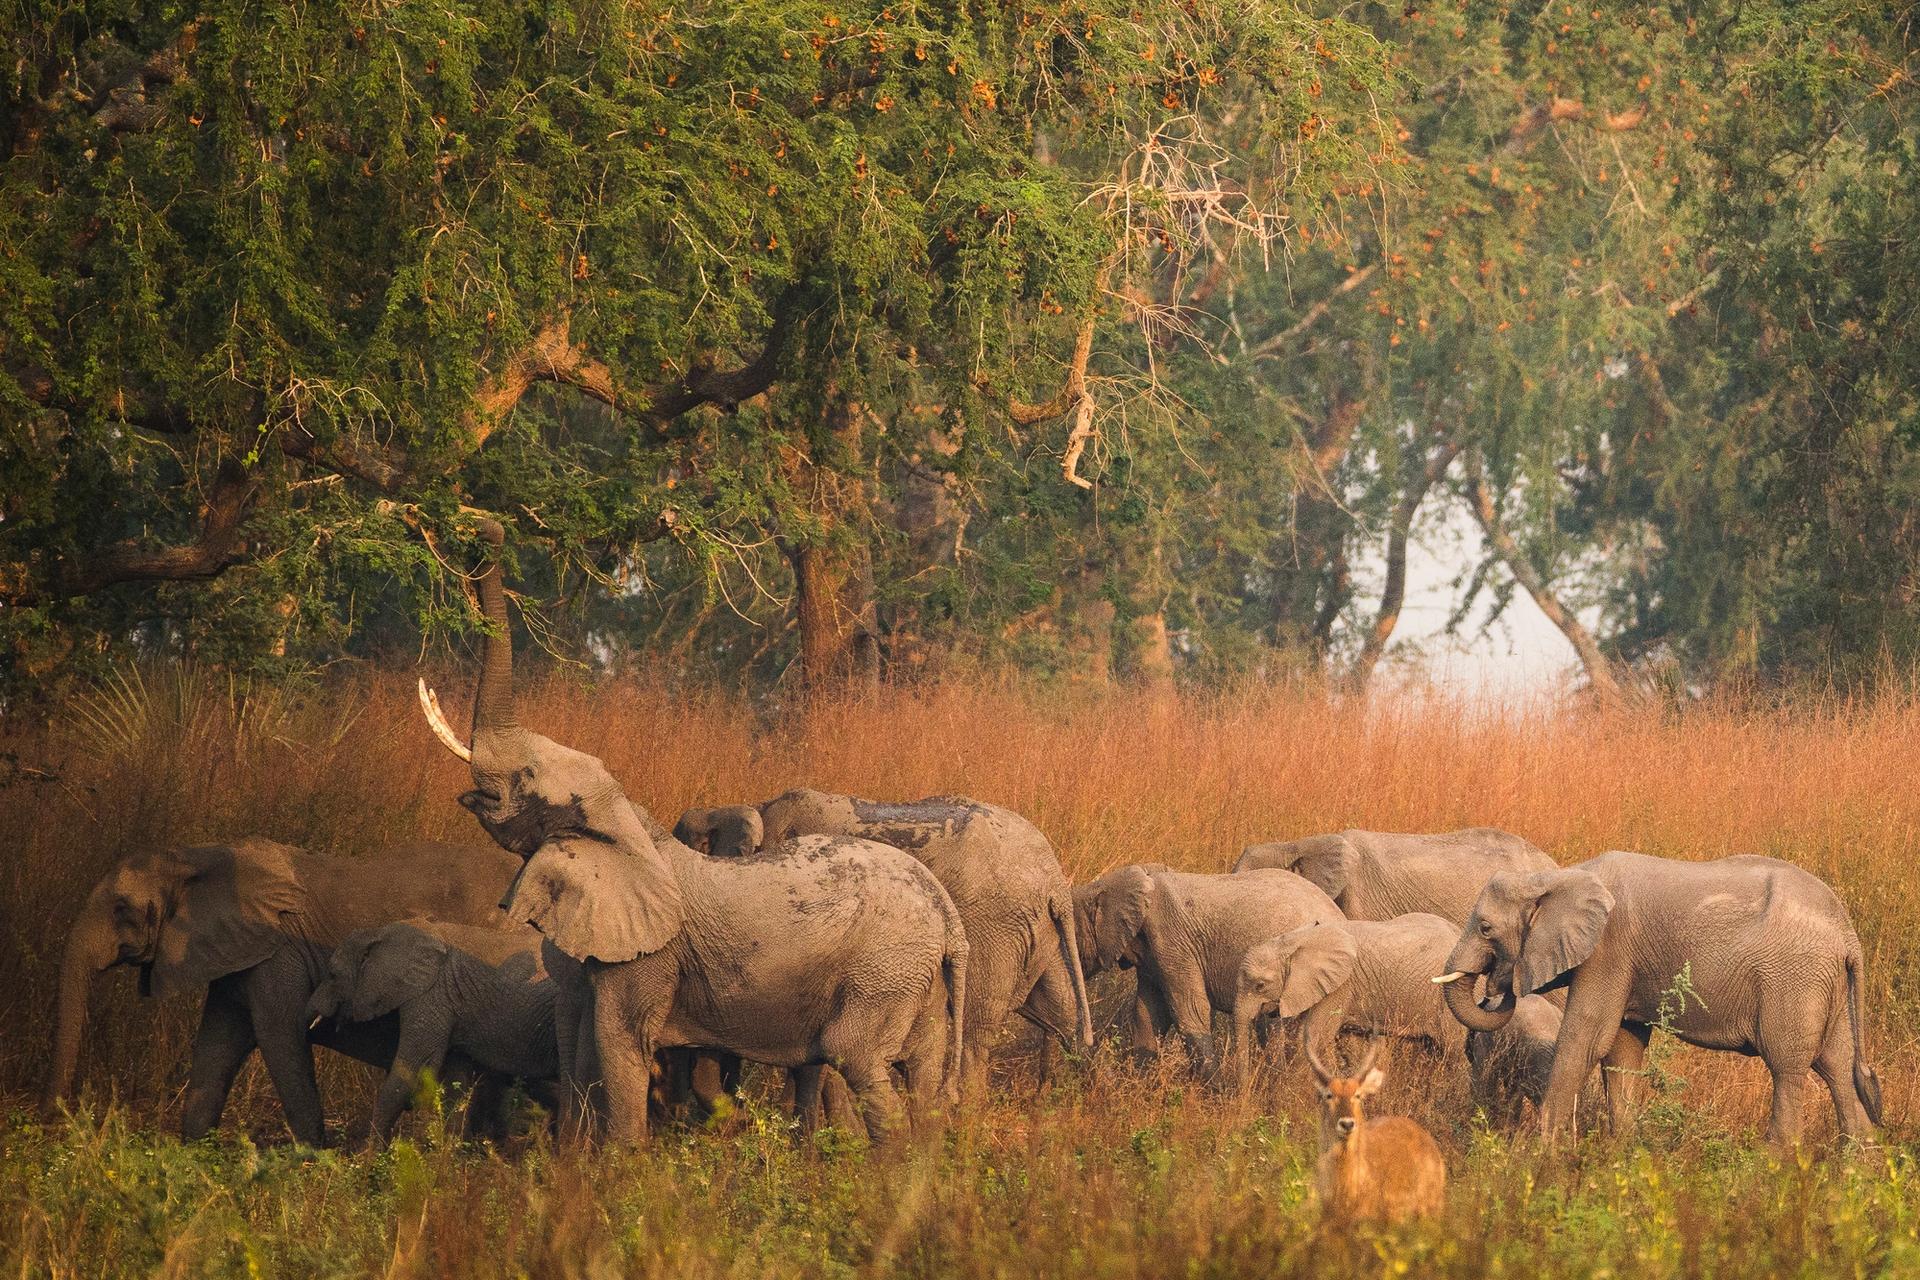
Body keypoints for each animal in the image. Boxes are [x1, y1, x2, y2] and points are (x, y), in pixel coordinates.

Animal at [43, 837, 524, 1145]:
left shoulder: (277, 953)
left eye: (120, 909)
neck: (193, 857)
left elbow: (280, 1037)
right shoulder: (236, 955)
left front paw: (313, 1156)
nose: (55, 1120)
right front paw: (193, 1152)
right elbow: (217, 1044)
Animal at [305, 919, 556, 1145]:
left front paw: (369, 1157)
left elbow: (415, 1067)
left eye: (332, 975)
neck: (378, 932)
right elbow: (456, 1079)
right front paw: (450, 1152)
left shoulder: (432, 994)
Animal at [415, 519, 968, 1145]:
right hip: (921, 981)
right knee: (925, 1078)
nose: (486, 528)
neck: (629, 827)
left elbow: (620, 1045)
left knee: (865, 1065)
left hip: (882, 974)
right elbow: (579, 1047)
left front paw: (622, 1162)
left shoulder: (648, 956)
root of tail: (950, 921)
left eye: (527, 778)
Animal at [1072, 864, 1343, 1077]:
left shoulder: (1171, 940)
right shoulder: (1152, 959)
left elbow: (1190, 1009)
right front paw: (1137, 1085)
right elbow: (1147, 1015)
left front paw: (1216, 1094)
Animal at [1436, 851, 1884, 1144]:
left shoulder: (1609, 950)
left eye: (1486, 928)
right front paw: (1623, 1152)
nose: (1494, 990)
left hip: (1792, 980)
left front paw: (1541, 1156)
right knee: (1837, 1067)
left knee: (1788, 1067)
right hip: (1825, 985)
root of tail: (1848, 935)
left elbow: (1587, 1039)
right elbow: (1622, 1047)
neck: (1555, 877)